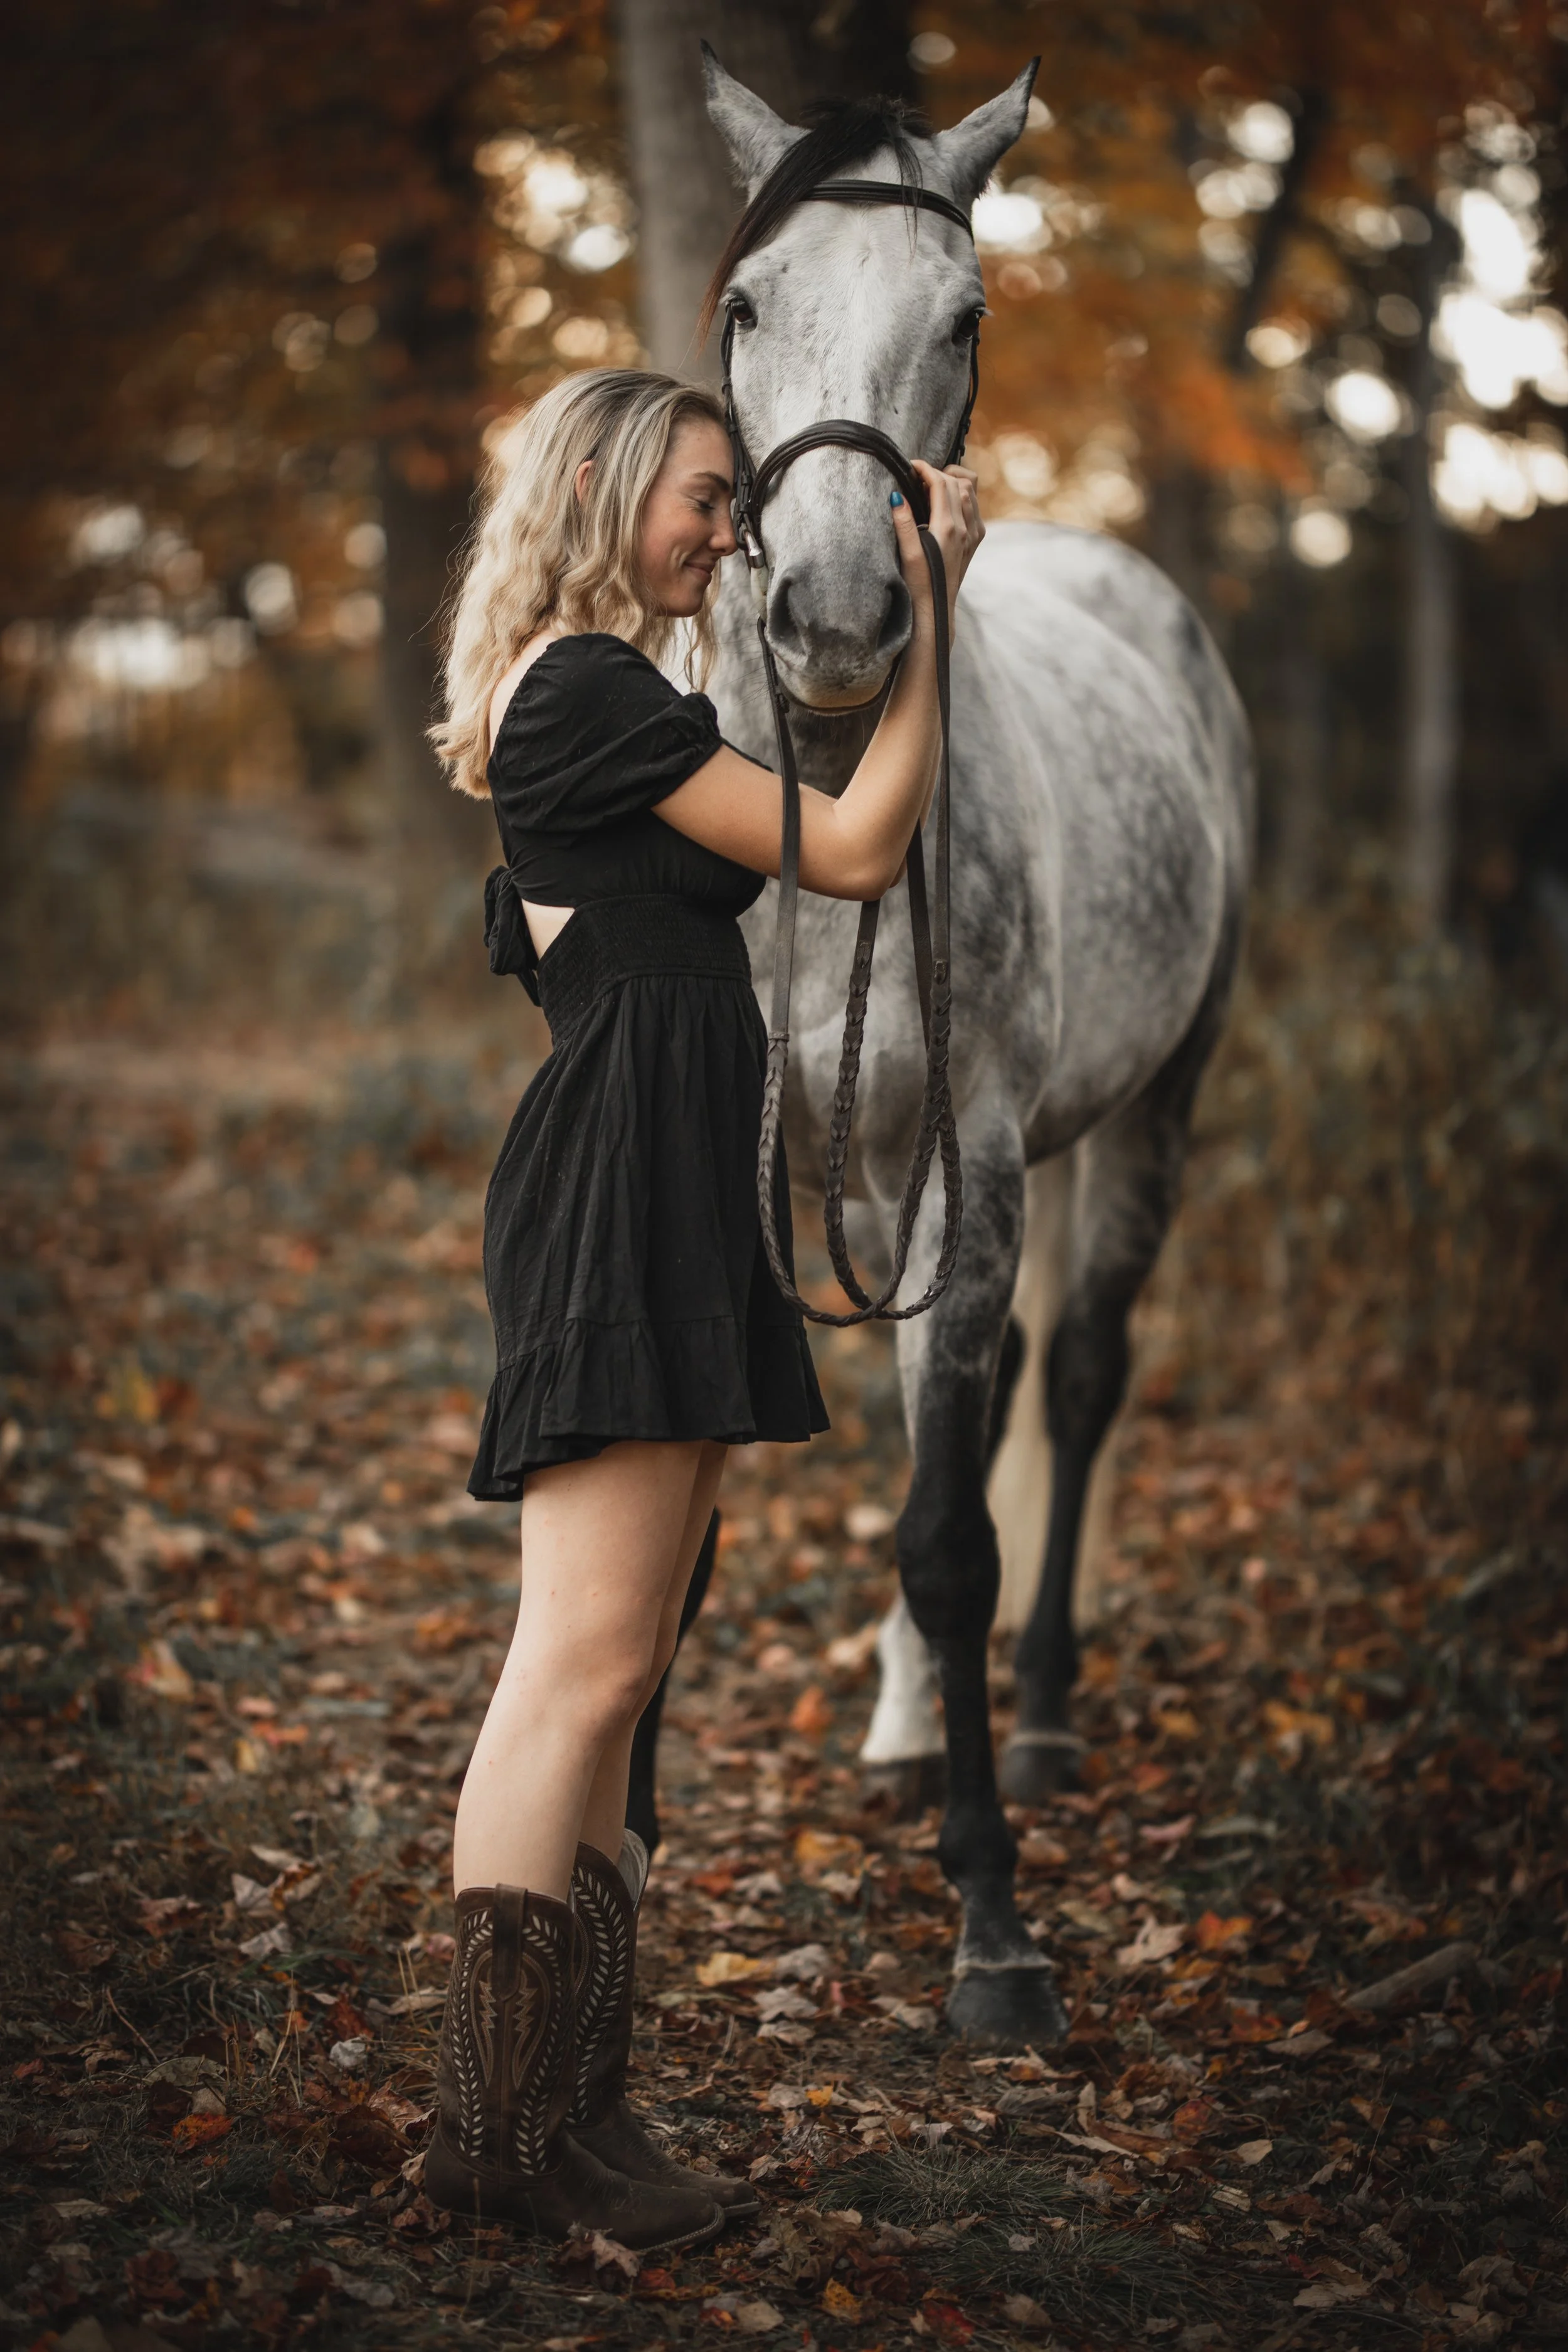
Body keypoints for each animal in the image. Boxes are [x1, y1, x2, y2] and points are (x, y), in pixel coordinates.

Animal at [629, 54, 1254, 2050]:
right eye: (749, 305)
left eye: (964, 318)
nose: (835, 623)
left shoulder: (974, 1169)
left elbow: (953, 1531)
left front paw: (992, 1926)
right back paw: (912, 1720)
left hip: (1141, 1114)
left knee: (1070, 1391)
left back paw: (1032, 1717)